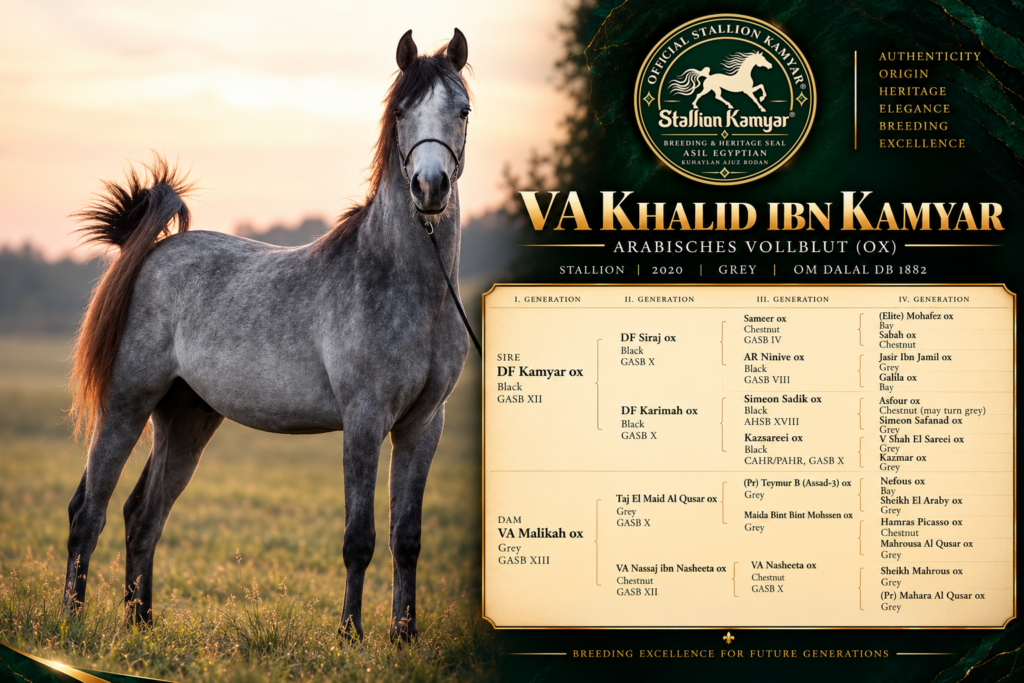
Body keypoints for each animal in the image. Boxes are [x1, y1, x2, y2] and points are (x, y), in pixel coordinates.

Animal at [61, 28, 472, 642]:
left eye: (462, 110)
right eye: (401, 111)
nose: (430, 188)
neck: (409, 289)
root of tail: (151, 250)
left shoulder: (422, 426)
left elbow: (407, 539)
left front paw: (405, 637)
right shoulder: (364, 419)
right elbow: (359, 538)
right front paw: (350, 637)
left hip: (186, 418)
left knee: (143, 515)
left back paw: (141, 624)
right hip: (127, 404)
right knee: (89, 511)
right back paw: (72, 624)